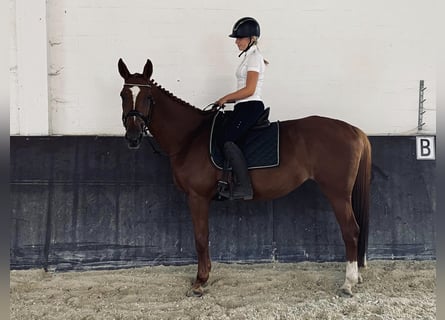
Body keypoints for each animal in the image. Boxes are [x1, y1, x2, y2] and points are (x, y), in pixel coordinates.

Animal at [118, 58, 372, 298]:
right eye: (123, 95)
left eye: (148, 97)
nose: (132, 137)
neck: (190, 136)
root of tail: (354, 130)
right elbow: (204, 237)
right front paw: (205, 275)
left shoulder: (197, 197)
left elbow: (200, 237)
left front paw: (200, 281)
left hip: (337, 193)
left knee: (351, 231)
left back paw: (348, 283)